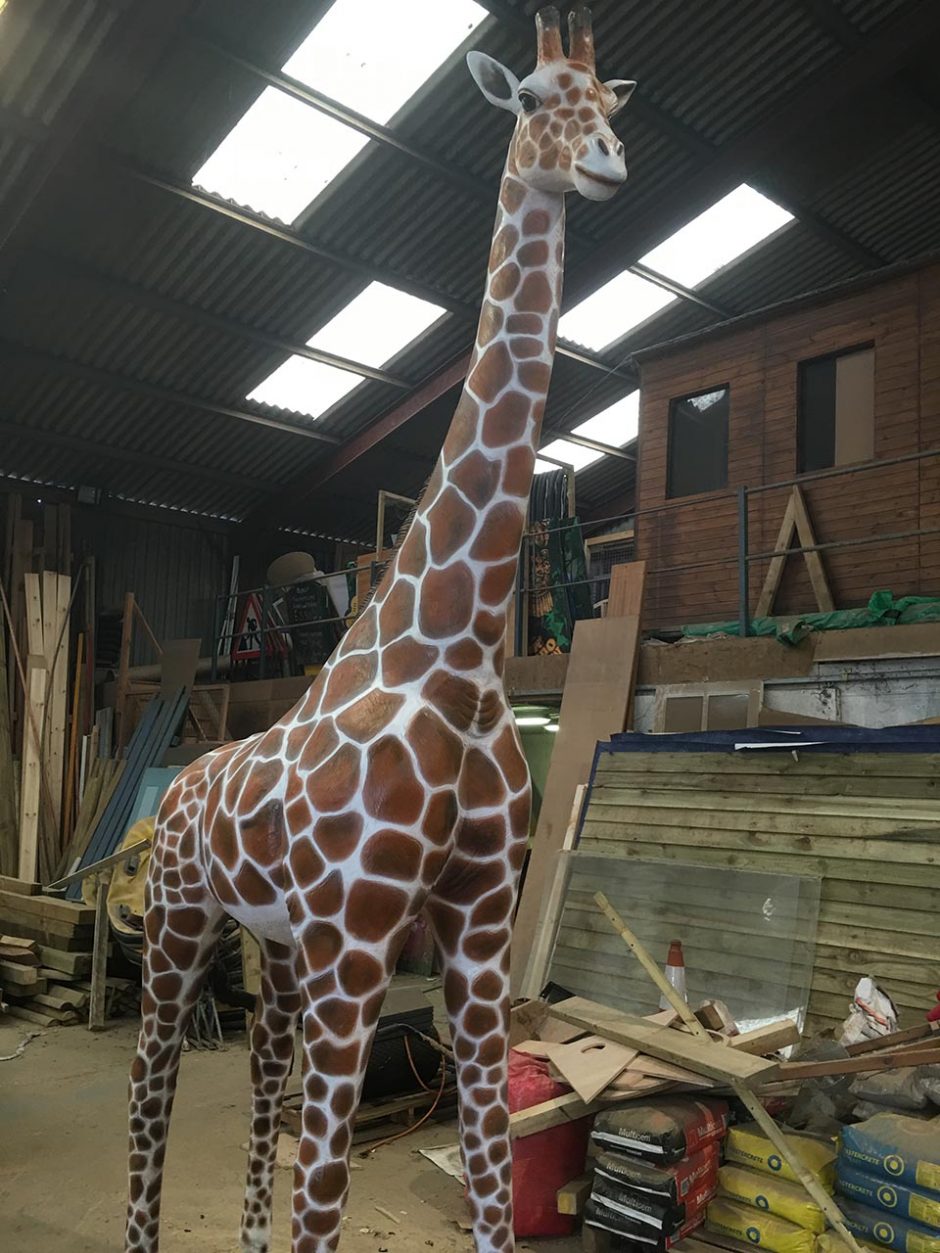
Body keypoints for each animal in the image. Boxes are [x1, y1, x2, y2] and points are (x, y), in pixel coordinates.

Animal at [125, 8, 634, 1252]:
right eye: (534, 96)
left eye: (610, 101)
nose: (606, 166)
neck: (449, 651)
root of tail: (175, 787)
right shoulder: (356, 942)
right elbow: (327, 1199)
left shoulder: (475, 934)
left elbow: (495, 1181)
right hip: (181, 921)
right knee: (154, 1078)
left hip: (268, 946)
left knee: (257, 1071)